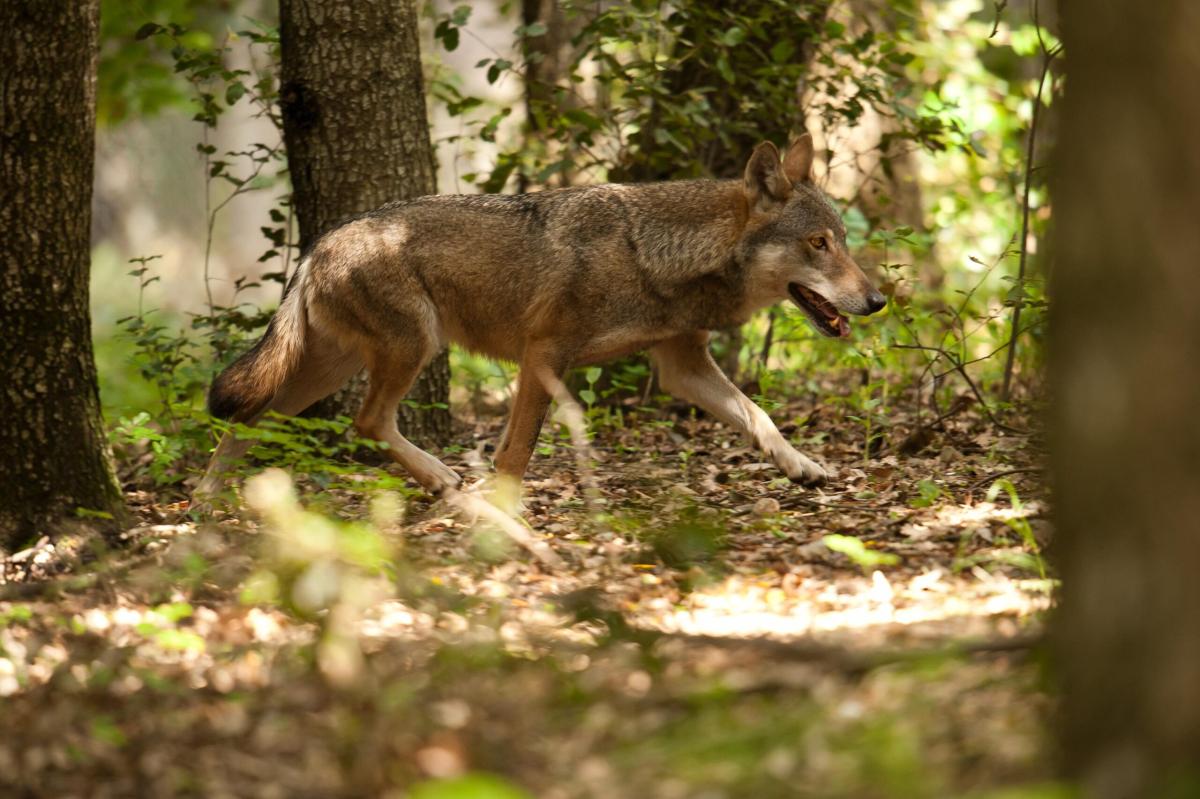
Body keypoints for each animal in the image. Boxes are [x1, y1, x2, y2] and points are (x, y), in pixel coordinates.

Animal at [196, 135, 888, 499]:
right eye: (819, 244)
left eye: (842, 241)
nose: (878, 301)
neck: (660, 252)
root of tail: (320, 242)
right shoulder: (544, 356)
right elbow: (517, 451)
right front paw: (506, 515)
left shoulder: (680, 365)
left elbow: (758, 415)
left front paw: (801, 466)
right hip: (412, 348)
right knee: (365, 423)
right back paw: (442, 478)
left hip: (327, 371)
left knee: (254, 417)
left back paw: (205, 502)